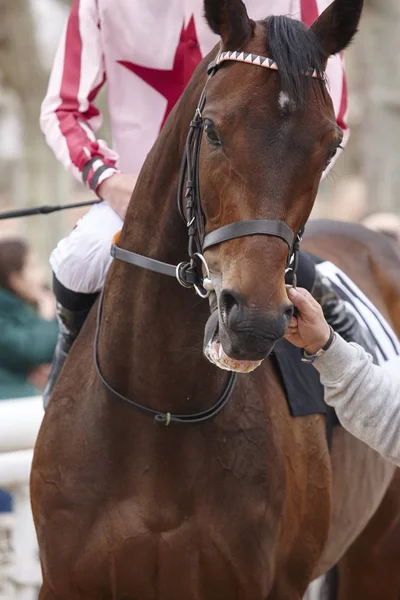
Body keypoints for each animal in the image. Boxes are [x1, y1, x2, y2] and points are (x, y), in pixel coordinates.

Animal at [29, 0, 398, 596]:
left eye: (329, 146)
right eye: (213, 130)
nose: (253, 319)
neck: (161, 410)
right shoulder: (66, 581)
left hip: (379, 552)